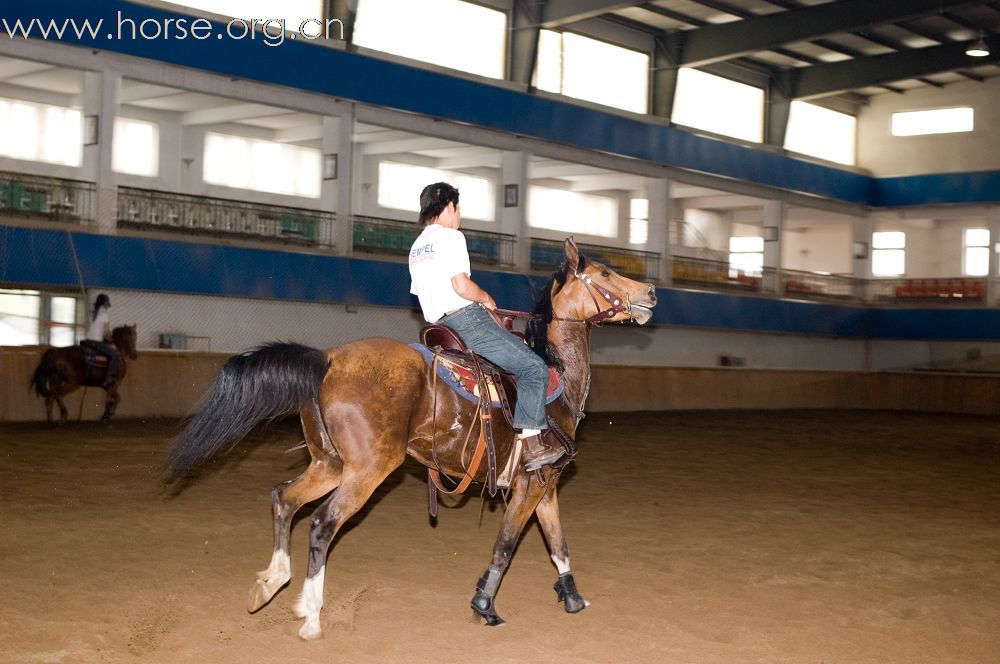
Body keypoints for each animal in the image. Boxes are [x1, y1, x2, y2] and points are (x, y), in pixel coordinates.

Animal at [164, 239, 656, 640]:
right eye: (605, 274)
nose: (650, 293)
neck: (556, 374)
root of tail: (328, 360)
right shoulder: (531, 484)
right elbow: (506, 543)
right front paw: (485, 606)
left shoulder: (544, 485)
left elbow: (558, 544)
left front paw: (572, 598)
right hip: (368, 469)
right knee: (322, 523)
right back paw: (312, 616)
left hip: (330, 464)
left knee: (284, 500)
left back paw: (271, 584)